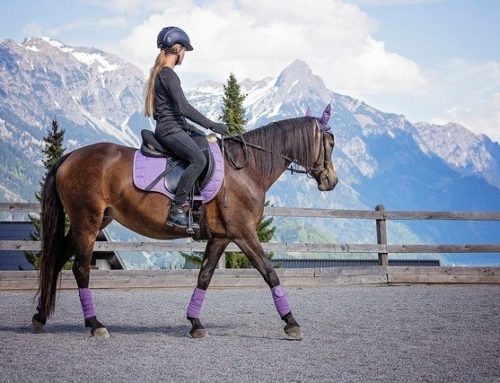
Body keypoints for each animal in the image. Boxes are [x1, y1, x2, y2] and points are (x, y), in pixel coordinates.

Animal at [33, 105, 338, 340]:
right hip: (88, 222)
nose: (332, 181)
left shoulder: (221, 236)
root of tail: (70, 157)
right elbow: (269, 271)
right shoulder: (243, 233)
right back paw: (95, 324)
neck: (246, 169)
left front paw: (195, 324)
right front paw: (291, 322)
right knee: (81, 269)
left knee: (56, 259)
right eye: (331, 143)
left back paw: (40, 317)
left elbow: (205, 276)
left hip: (93, 222)